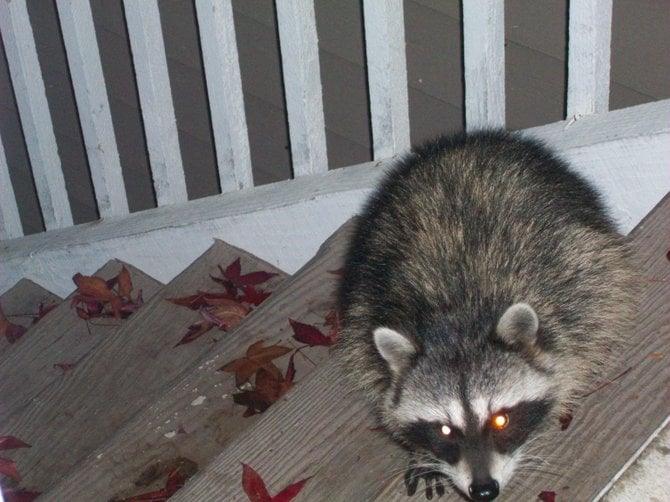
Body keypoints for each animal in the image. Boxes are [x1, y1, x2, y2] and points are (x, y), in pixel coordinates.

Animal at [338, 131, 636, 500]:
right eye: (445, 430)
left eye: (500, 419)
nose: (483, 490)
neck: (458, 318)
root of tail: (466, 140)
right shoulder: (370, 311)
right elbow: (381, 387)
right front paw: (422, 451)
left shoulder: (568, 286)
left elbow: (582, 336)